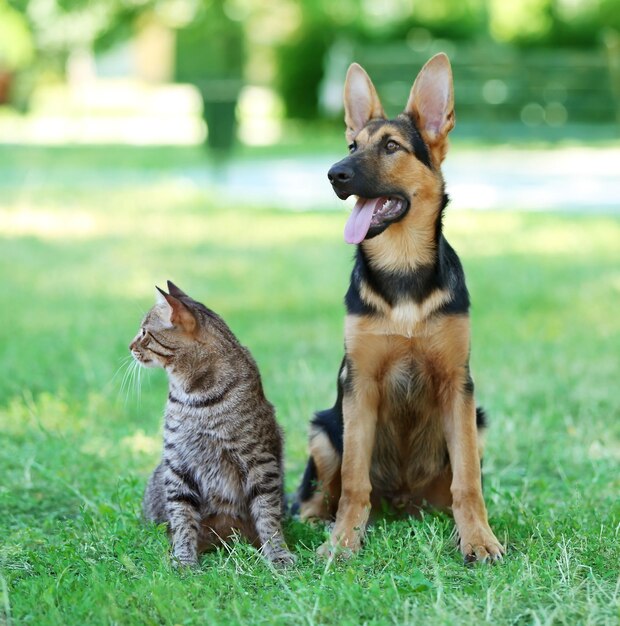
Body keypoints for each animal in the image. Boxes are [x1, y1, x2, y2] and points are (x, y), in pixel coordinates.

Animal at [129, 282, 296, 564]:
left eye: (144, 332)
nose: (129, 346)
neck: (194, 399)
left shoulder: (259, 460)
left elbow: (267, 515)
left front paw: (277, 554)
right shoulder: (178, 463)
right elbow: (182, 516)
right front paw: (184, 559)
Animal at [298, 52, 506, 560]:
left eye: (391, 146)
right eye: (352, 144)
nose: (334, 174)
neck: (402, 267)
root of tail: (402, 502)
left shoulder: (457, 386)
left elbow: (468, 482)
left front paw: (478, 537)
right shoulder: (360, 385)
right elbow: (354, 480)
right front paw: (344, 541)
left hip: (477, 423)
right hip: (323, 429)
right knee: (321, 491)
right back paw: (319, 522)